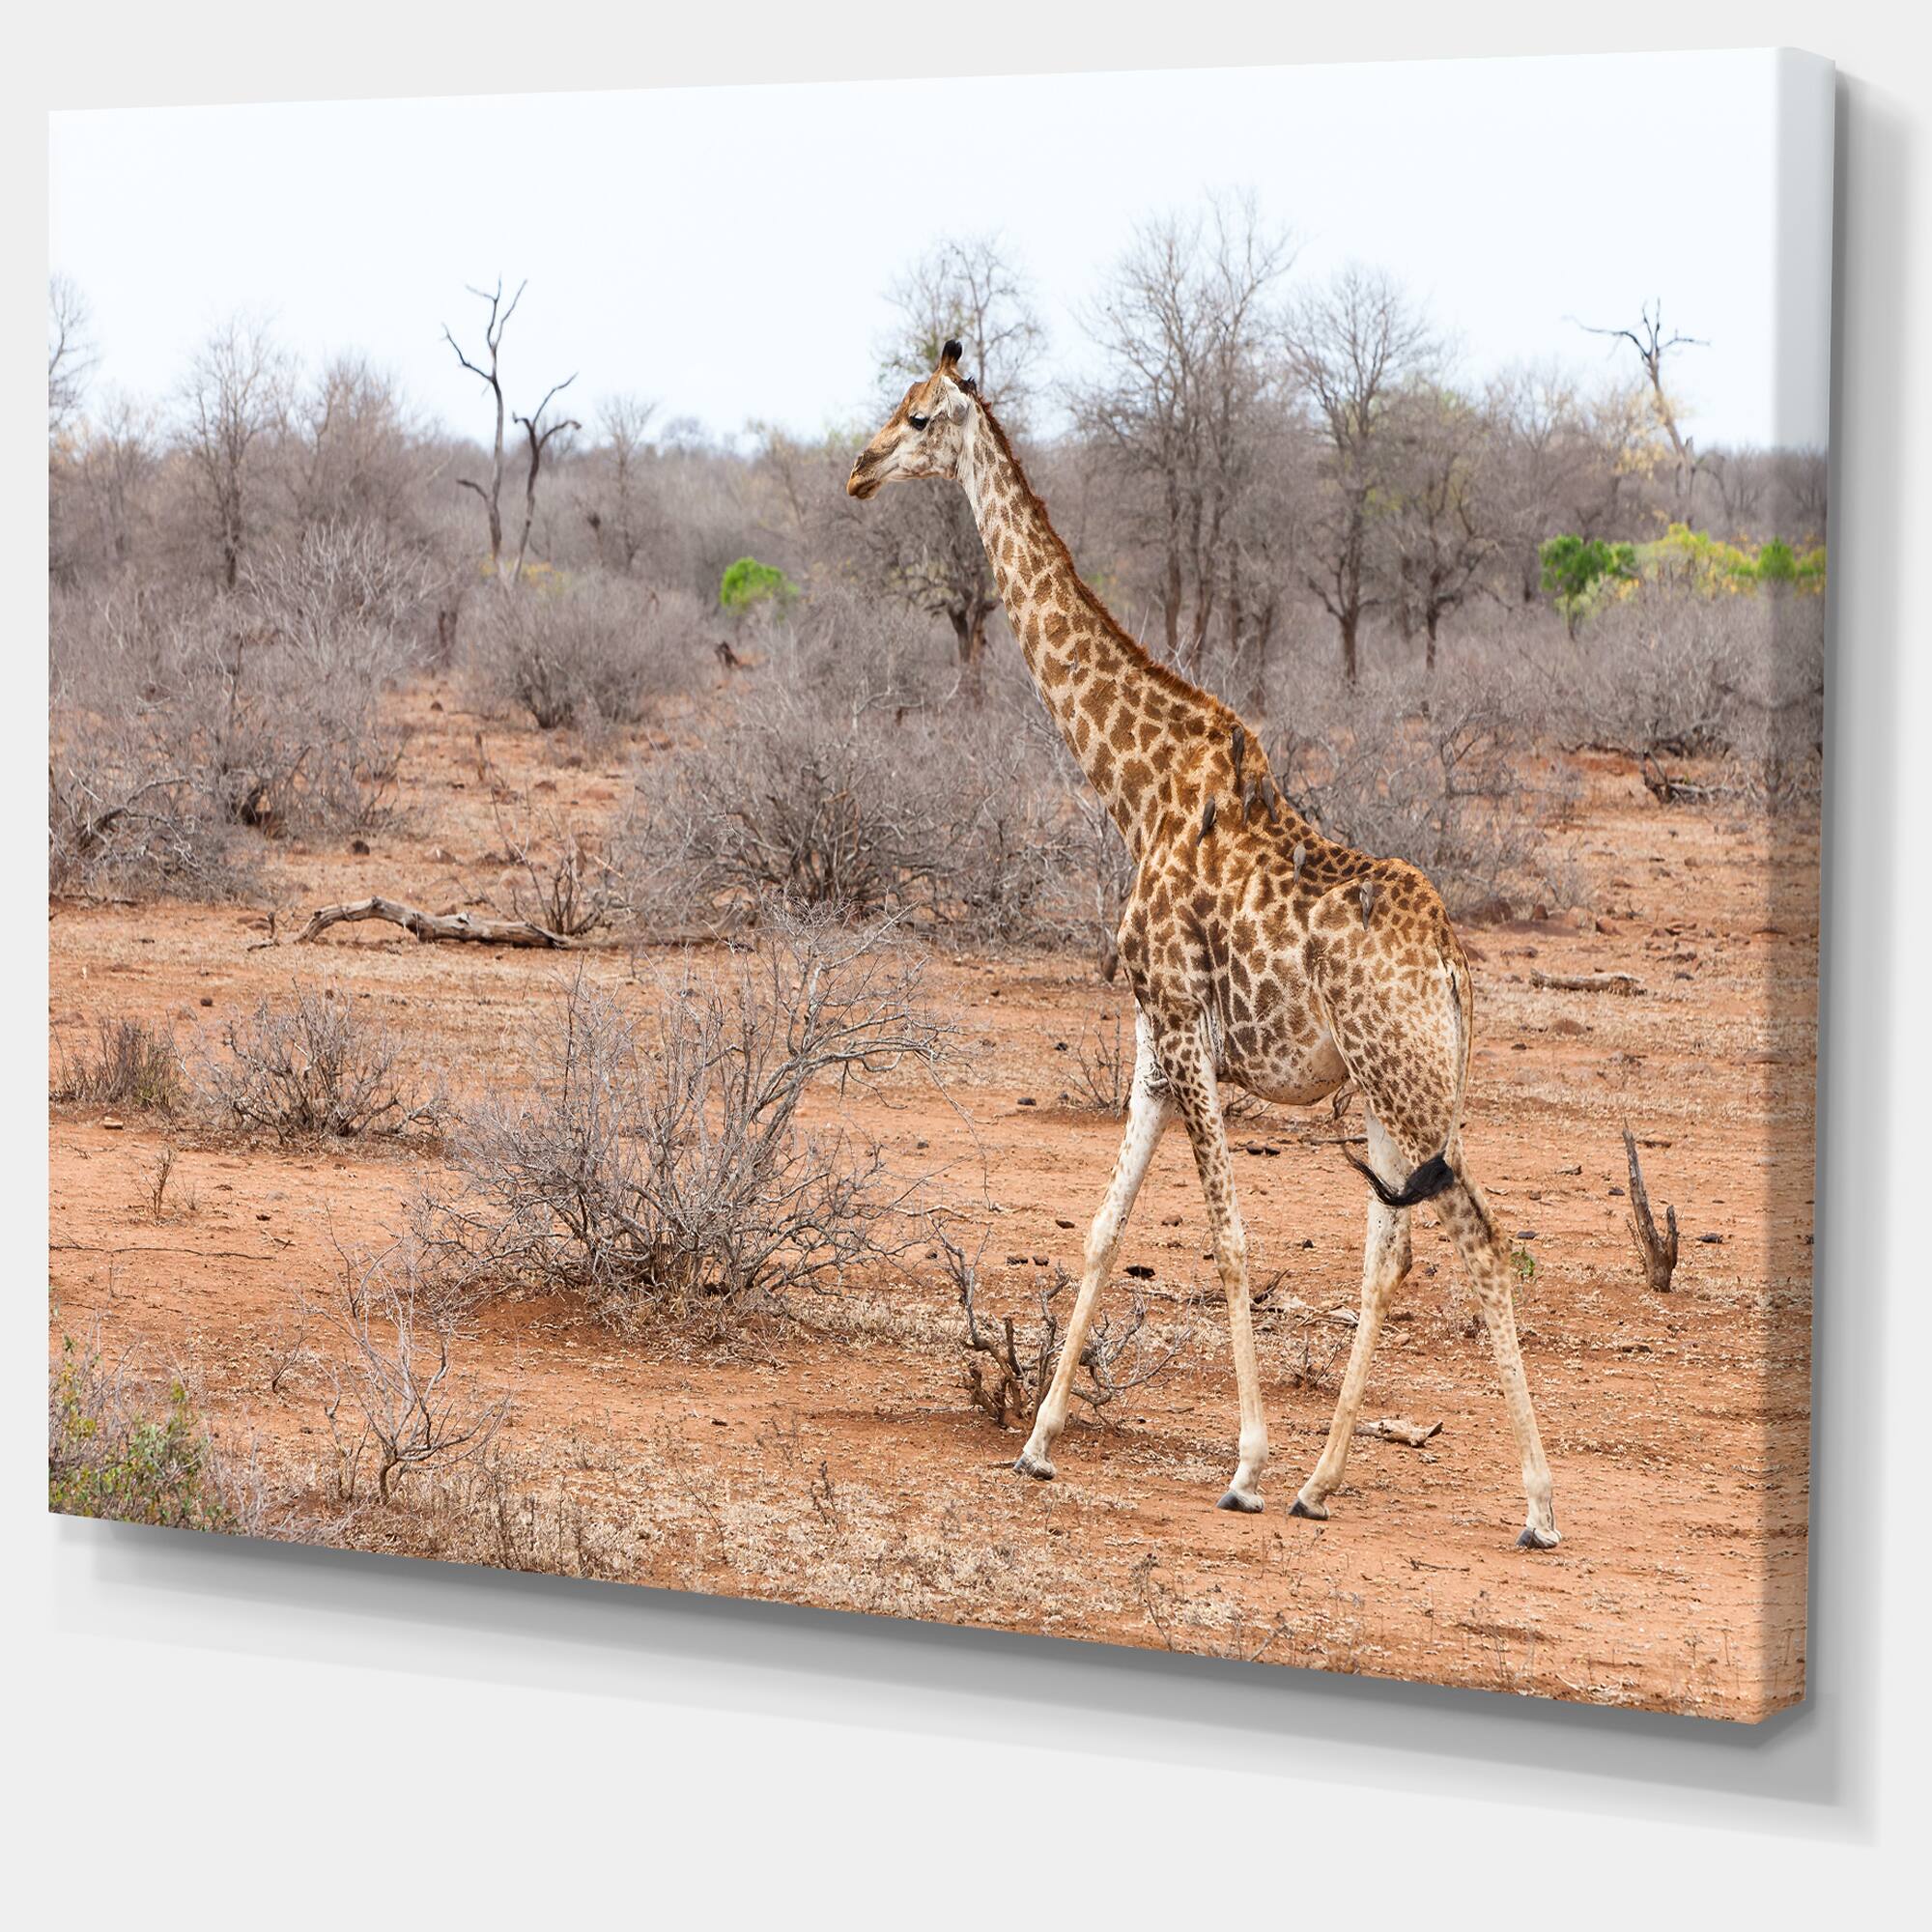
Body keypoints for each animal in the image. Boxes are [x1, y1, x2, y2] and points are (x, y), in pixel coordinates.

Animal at [847, 342, 1558, 1549]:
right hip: (1394, 1089)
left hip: (1411, 1088)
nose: (855, 468)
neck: (1133, 790)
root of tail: (1452, 967)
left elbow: (1225, 1240)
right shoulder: (1151, 1037)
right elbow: (1098, 1227)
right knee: (1394, 1252)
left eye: (919, 415)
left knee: (1480, 1240)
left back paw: (1534, 1503)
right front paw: (1035, 1444)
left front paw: (1243, 1463)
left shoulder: (1185, 1028)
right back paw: (1325, 1481)